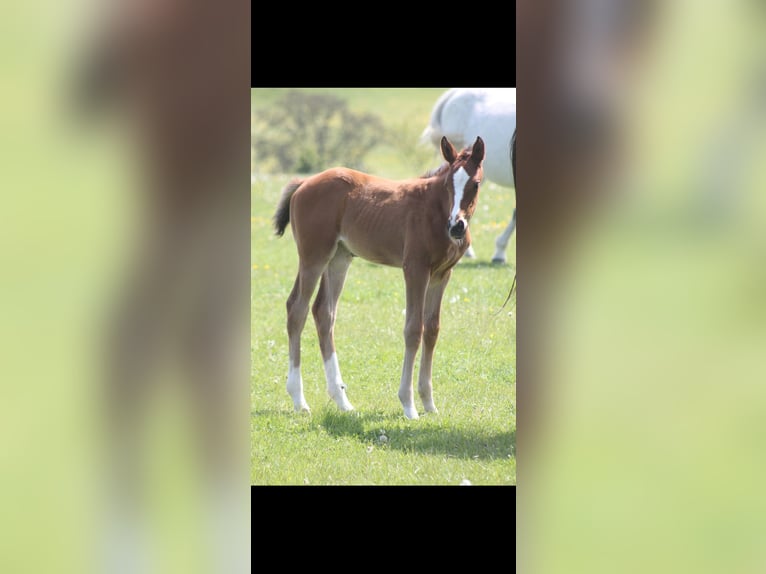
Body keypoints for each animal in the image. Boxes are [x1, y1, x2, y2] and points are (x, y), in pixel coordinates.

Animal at [273, 136, 485, 420]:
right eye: (447, 184)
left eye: (476, 183)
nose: (457, 226)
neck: (435, 211)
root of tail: (304, 183)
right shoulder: (415, 268)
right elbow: (413, 329)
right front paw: (408, 404)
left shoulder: (442, 273)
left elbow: (432, 329)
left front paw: (429, 403)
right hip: (313, 256)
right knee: (297, 308)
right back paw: (299, 399)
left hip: (339, 258)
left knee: (324, 312)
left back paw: (342, 401)